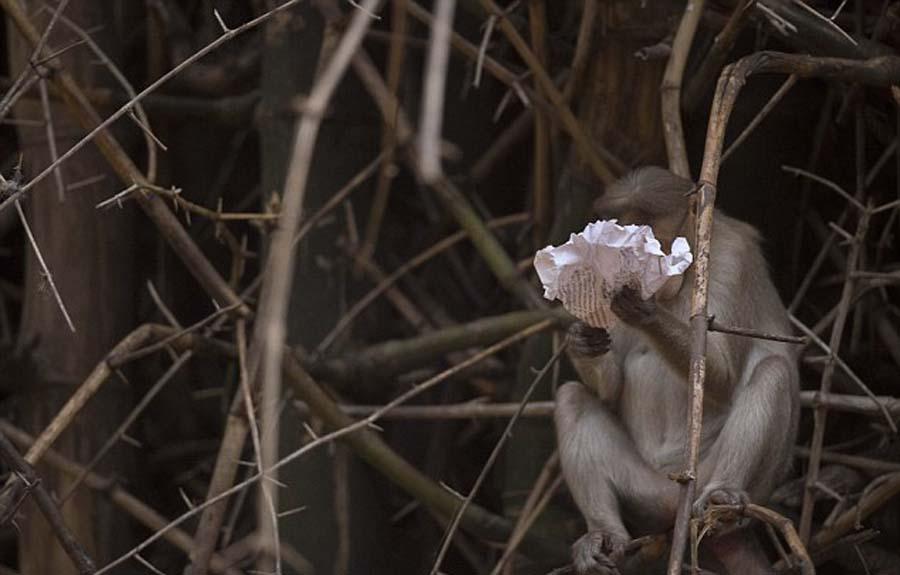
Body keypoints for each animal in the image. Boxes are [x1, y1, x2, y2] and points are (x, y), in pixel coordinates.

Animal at [556, 165, 800, 572]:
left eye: (654, 237)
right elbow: (610, 391)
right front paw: (581, 340)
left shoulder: (729, 258)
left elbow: (722, 378)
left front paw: (643, 310)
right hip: (647, 492)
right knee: (571, 398)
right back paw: (605, 534)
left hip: (726, 479)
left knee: (774, 372)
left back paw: (723, 497)